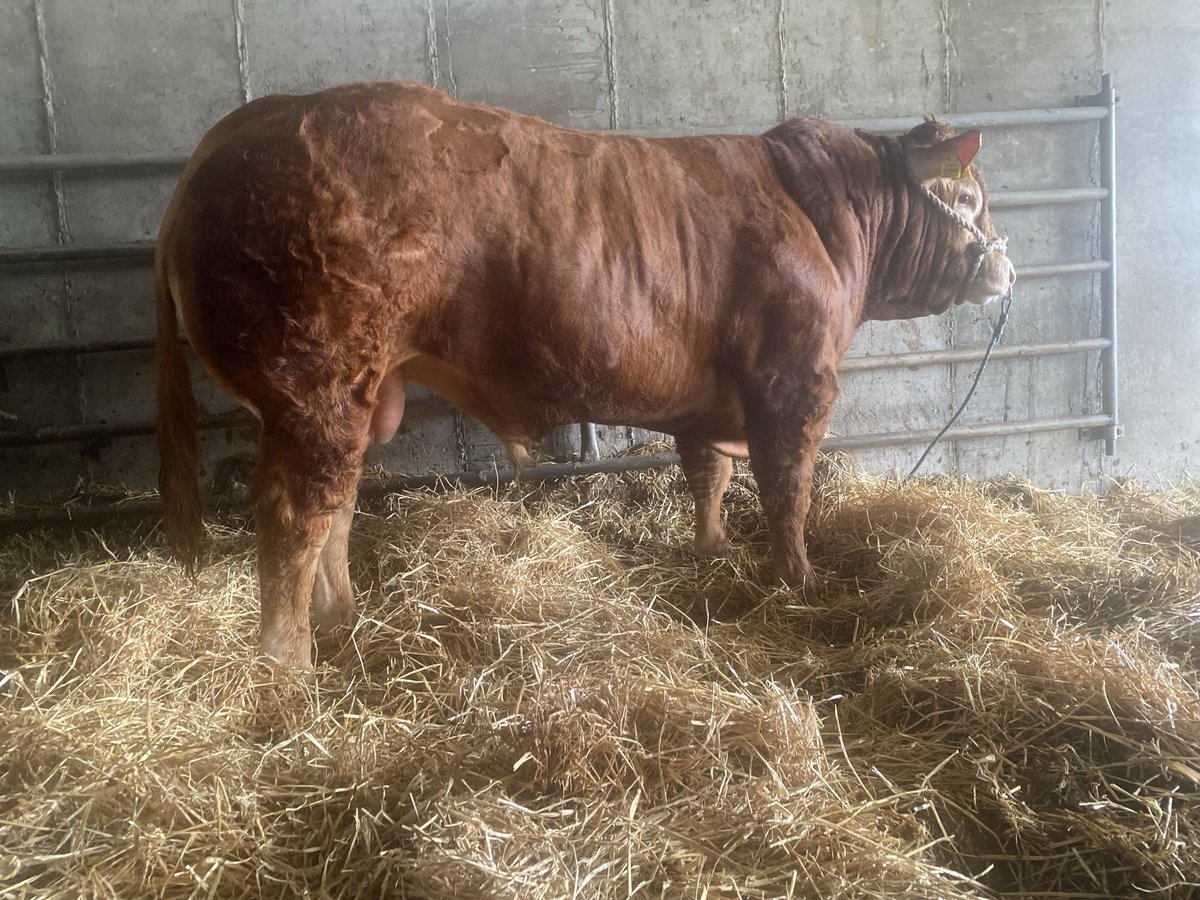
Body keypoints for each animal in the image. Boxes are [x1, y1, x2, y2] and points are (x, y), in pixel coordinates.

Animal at [155, 81, 1014, 669]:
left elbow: (708, 472)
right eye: (969, 198)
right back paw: (288, 662)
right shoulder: (795, 380)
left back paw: (341, 615)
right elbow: (786, 488)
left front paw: (712, 550)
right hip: (317, 387)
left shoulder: (712, 393)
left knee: (334, 506)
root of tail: (249, 123)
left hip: (358, 399)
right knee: (294, 515)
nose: (1006, 269)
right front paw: (796, 577)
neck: (824, 216)